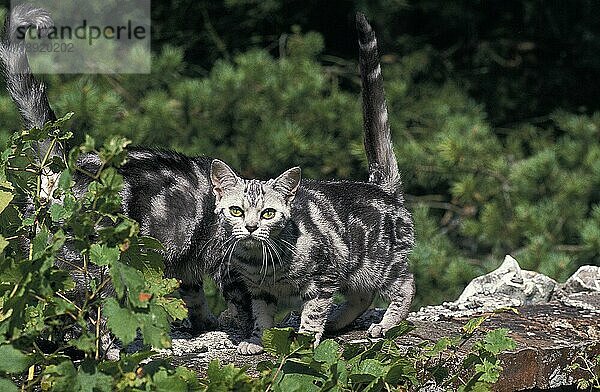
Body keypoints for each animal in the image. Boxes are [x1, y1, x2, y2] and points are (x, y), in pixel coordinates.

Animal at [0, 3, 252, 336]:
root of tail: (65, 167)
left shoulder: (188, 267)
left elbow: (194, 297)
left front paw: (205, 324)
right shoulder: (231, 265)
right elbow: (246, 304)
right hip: (96, 269)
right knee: (84, 313)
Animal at [210, 12, 412, 356]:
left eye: (268, 214)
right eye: (236, 211)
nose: (250, 227)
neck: (261, 262)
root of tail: (382, 187)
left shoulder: (326, 278)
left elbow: (314, 311)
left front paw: (305, 339)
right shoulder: (258, 291)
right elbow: (262, 317)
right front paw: (256, 340)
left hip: (382, 264)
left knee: (405, 287)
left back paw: (385, 325)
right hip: (358, 271)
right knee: (361, 296)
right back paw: (338, 322)